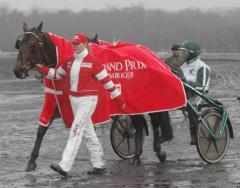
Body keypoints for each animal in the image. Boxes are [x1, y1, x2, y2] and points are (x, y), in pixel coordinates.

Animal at [13, 22, 172, 169]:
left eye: (33, 45)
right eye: (19, 44)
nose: (18, 70)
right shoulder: (54, 101)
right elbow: (41, 130)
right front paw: (32, 161)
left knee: (147, 122)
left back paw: (144, 153)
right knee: (142, 123)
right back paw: (146, 153)